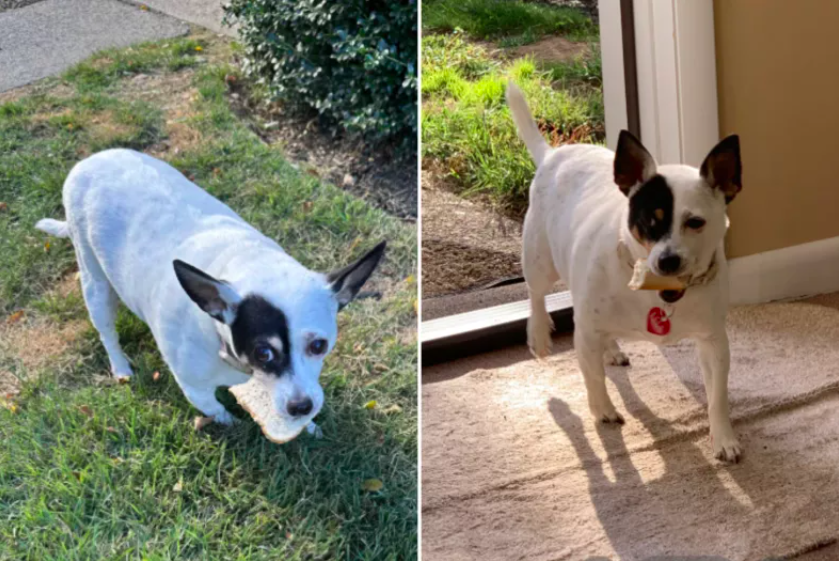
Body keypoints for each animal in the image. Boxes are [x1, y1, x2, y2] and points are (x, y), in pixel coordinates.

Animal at [36, 150, 384, 442]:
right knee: (107, 331)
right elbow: (216, 409)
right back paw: (120, 366)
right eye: (263, 353)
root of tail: (89, 160)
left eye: (319, 346)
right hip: (94, 282)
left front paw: (309, 427)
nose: (301, 406)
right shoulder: (194, 388)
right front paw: (232, 423)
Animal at [508, 82, 744, 460]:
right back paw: (540, 335)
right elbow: (593, 379)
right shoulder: (586, 333)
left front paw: (723, 438)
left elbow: (717, 396)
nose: (667, 260)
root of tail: (552, 155)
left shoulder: (713, 341)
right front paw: (602, 410)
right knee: (536, 294)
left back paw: (611, 349)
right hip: (539, 259)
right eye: (650, 220)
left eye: (695, 223)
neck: (657, 290)